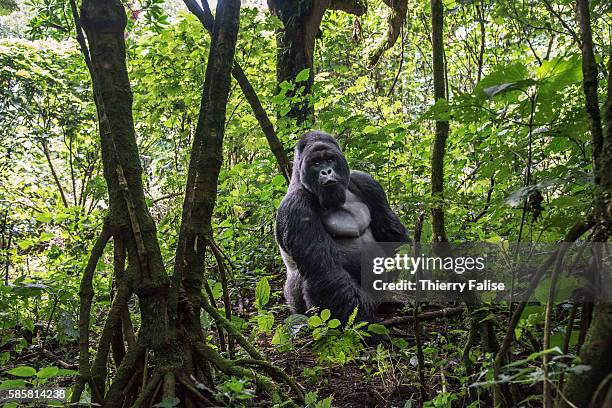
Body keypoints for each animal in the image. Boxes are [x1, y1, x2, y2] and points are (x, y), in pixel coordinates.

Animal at [274, 132, 408, 324]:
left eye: (330, 159)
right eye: (316, 163)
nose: (327, 172)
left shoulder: (366, 181)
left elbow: (392, 235)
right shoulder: (296, 207)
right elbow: (326, 271)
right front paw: (363, 322)